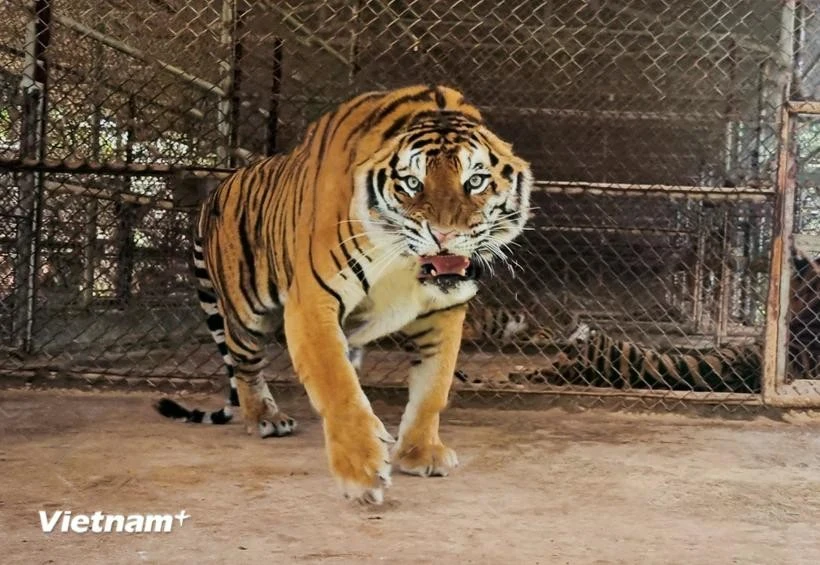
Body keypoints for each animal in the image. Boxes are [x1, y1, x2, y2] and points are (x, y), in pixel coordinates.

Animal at [154, 85, 533, 505]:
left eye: (476, 181)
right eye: (412, 183)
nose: (444, 234)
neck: (403, 263)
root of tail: (215, 189)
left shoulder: (443, 314)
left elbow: (433, 388)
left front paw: (419, 452)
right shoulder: (312, 304)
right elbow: (338, 387)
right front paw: (361, 471)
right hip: (244, 311)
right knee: (244, 365)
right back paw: (266, 418)